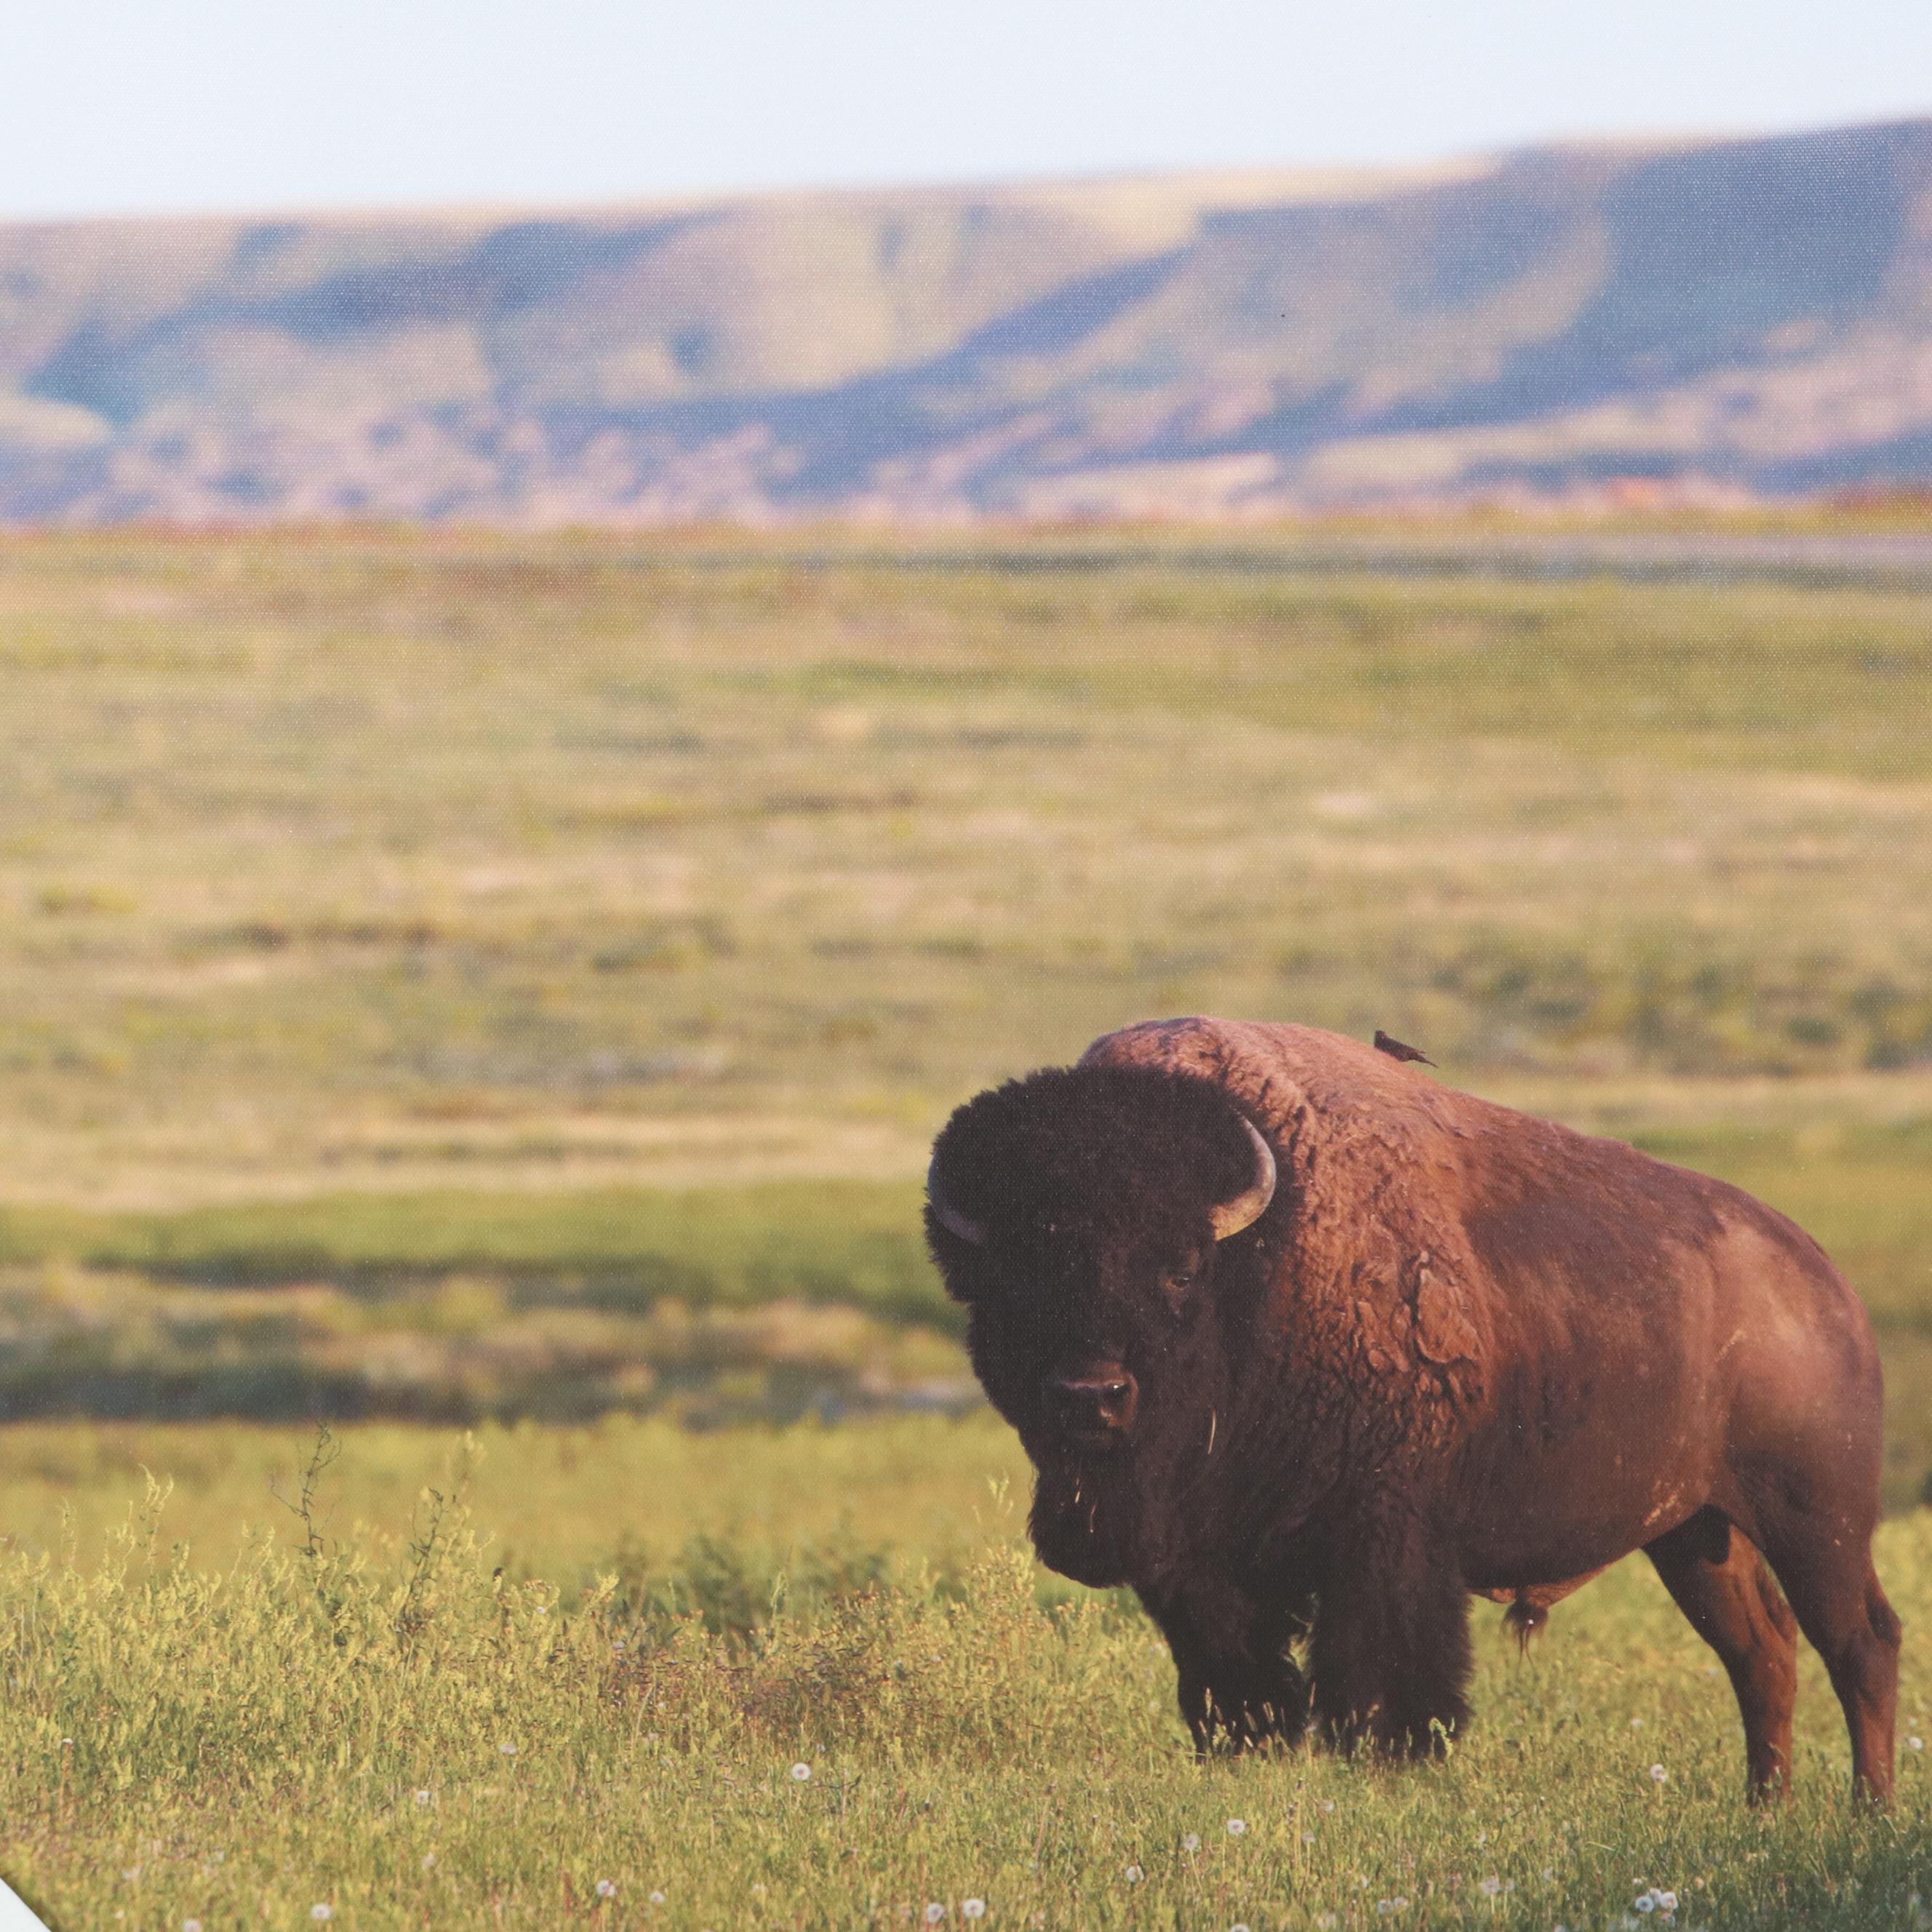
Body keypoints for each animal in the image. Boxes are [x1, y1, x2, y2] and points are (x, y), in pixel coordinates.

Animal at [924, 1017, 1899, 1799]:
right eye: (1013, 1283)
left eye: (1179, 1270)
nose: (1091, 1395)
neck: (1263, 1260)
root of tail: (1824, 1285)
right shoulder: (1195, 1567)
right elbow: (1240, 1689)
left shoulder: (1384, 1536)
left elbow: (1382, 1684)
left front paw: (1391, 1767)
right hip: (1696, 1532)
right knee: (1761, 1655)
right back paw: (1765, 1808)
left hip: (1817, 1519)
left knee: (1860, 1644)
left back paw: (1866, 1811)